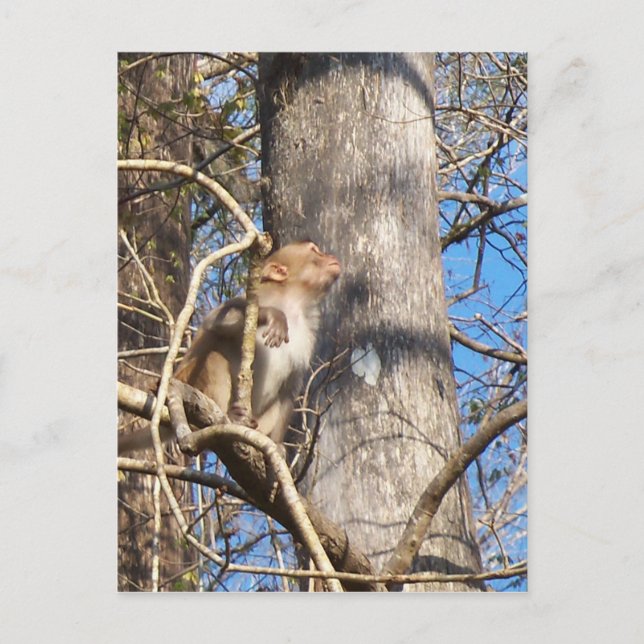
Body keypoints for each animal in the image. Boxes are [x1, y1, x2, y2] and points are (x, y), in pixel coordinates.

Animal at [118, 241, 340, 453]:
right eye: (315, 251)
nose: (331, 256)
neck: (294, 303)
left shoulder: (308, 334)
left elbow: (289, 389)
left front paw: (277, 445)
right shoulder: (259, 296)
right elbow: (215, 320)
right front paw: (271, 315)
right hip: (190, 380)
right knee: (214, 358)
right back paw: (229, 417)